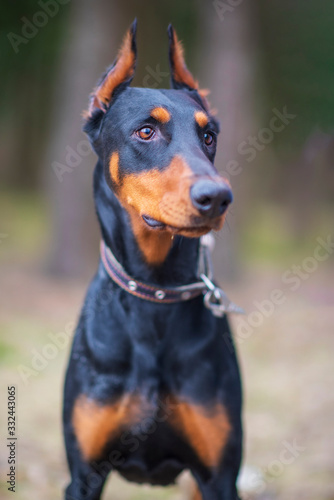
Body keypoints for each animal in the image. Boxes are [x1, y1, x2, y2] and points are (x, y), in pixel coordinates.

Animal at [64, 20, 243, 500]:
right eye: (146, 131)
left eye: (209, 136)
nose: (217, 197)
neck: (155, 291)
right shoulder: (83, 475)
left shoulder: (220, 476)